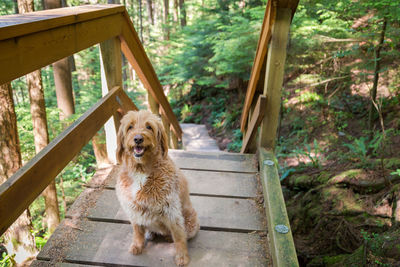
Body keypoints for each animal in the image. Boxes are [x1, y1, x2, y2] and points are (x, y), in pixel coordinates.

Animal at [115, 110, 199, 266]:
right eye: (130, 127)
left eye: (149, 127)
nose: (138, 139)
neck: (141, 170)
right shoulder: (133, 209)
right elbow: (137, 230)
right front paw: (137, 245)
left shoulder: (171, 210)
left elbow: (179, 236)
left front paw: (182, 257)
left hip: (190, 222)